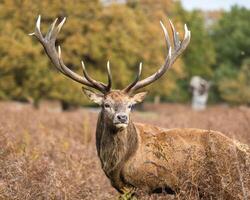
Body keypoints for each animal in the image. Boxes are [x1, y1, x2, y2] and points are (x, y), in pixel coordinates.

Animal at [30, 16, 250, 198]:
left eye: (130, 106)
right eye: (106, 104)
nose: (122, 118)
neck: (117, 165)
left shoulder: (147, 185)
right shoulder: (123, 189)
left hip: (225, 184)